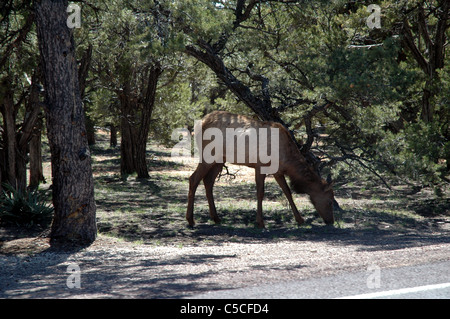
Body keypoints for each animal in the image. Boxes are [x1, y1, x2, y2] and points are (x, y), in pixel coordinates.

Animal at [186, 111, 334, 229]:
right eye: (330, 200)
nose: (331, 221)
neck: (287, 161)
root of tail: (199, 124)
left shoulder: (278, 171)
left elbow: (288, 192)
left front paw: (300, 219)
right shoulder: (260, 166)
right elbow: (260, 193)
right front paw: (260, 222)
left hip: (220, 159)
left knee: (208, 181)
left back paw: (216, 217)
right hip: (208, 155)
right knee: (193, 178)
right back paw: (190, 220)